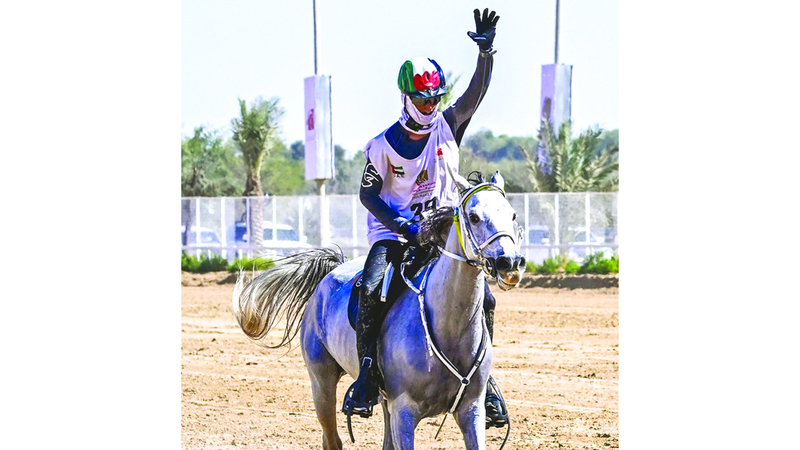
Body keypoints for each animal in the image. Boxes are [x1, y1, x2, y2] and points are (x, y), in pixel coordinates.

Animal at [231, 169, 528, 450]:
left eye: (513, 215)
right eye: (474, 217)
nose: (510, 262)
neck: (448, 327)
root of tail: (331, 272)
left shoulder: (471, 411)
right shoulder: (404, 413)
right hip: (321, 382)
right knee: (332, 439)